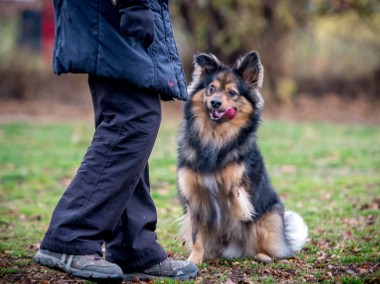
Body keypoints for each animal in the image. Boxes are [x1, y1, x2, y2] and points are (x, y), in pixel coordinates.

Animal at [177, 51, 308, 264]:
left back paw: (263, 256)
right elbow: (197, 237)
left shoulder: (238, 182)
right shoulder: (195, 196)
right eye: (211, 89)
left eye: (232, 93)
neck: (215, 137)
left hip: (267, 222)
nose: (215, 102)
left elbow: (236, 191)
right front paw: (193, 260)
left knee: (266, 249)